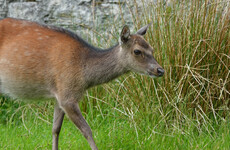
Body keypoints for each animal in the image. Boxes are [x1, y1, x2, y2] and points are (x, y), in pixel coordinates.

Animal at [0, 17, 165, 150]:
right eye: (137, 51)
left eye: (152, 48)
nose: (160, 70)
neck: (84, 77)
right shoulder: (67, 95)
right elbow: (87, 130)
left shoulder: (59, 95)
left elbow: (55, 129)